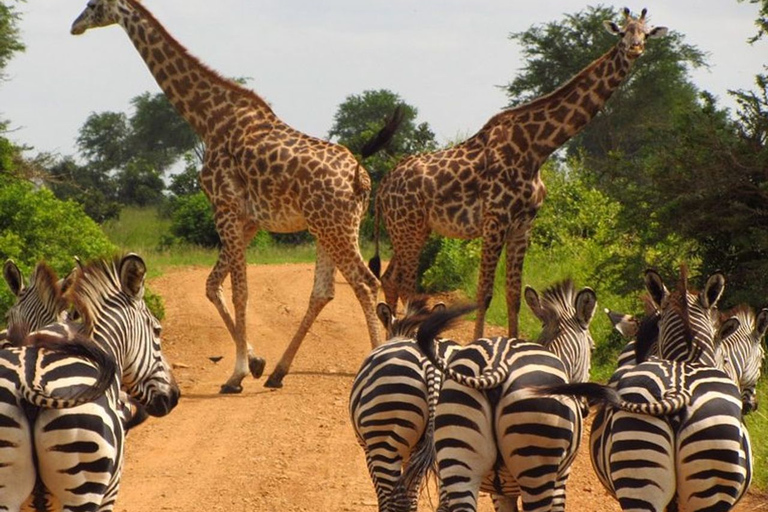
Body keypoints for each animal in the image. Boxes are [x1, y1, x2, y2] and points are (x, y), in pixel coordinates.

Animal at [70, 1, 402, 392]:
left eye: (92, 5)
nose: (75, 26)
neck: (208, 119)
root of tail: (360, 177)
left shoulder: (224, 207)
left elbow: (238, 290)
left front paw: (237, 374)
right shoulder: (248, 220)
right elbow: (213, 284)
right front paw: (256, 363)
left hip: (335, 227)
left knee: (365, 282)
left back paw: (374, 360)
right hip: (327, 227)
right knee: (324, 291)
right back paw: (278, 372)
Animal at [370, 7, 664, 340]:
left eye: (645, 32)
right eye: (623, 32)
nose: (635, 48)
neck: (536, 148)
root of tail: (383, 187)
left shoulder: (523, 225)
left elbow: (513, 293)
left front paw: (513, 342)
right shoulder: (494, 220)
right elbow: (484, 292)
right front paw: (478, 342)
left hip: (408, 229)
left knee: (390, 278)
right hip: (409, 227)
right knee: (405, 284)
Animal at [414, 280, 600, 512]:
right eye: (593, 347)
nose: (586, 408)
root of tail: (496, 364)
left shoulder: (499, 492)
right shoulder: (561, 478)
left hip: (458, 459)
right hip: (536, 463)